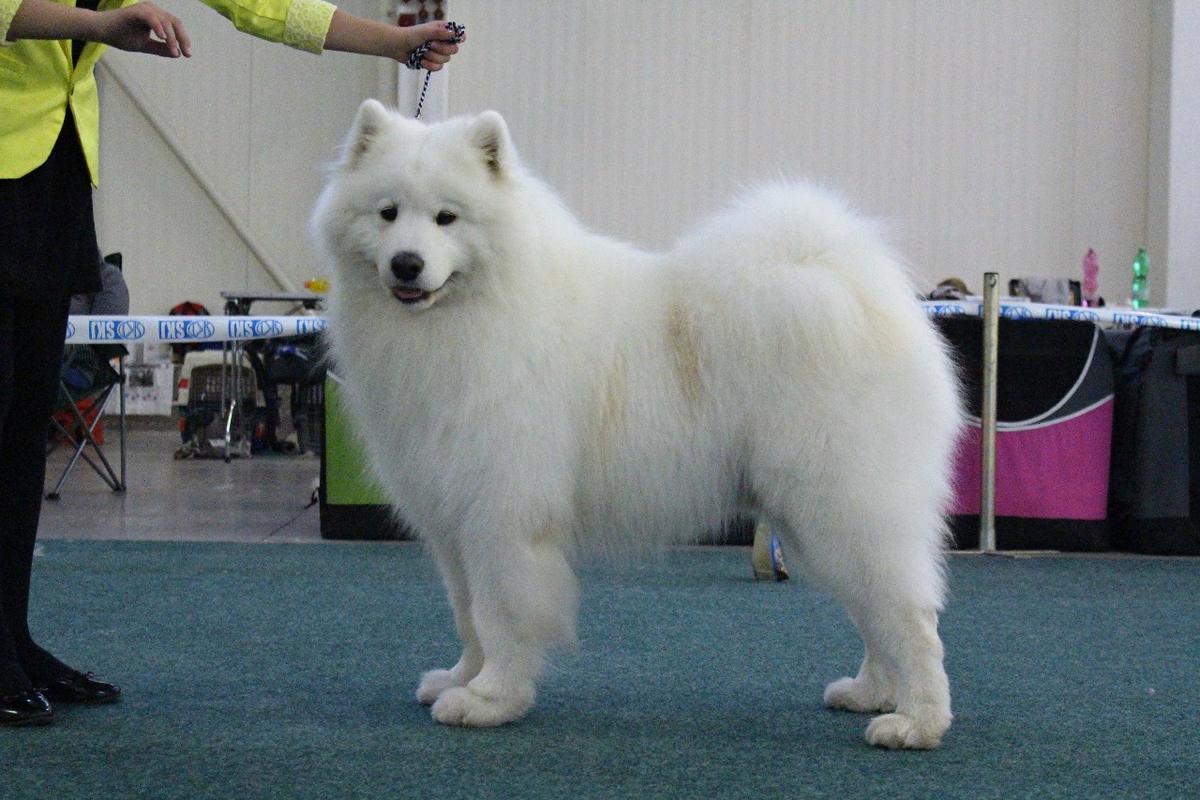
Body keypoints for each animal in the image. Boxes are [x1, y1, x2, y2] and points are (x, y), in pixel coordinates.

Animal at [316, 101, 964, 753]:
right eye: (388, 213)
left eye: (447, 217)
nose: (407, 263)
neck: (473, 315)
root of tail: (864, 293)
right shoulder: (453, 518)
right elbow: (467, 613)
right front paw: (461, 679)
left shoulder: (503, 515)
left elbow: (500, 614)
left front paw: (490, 700)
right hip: (819, 520)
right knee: (875, 613)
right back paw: (870, 692)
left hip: (843, 504)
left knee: (912, 619)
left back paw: (916, 721)